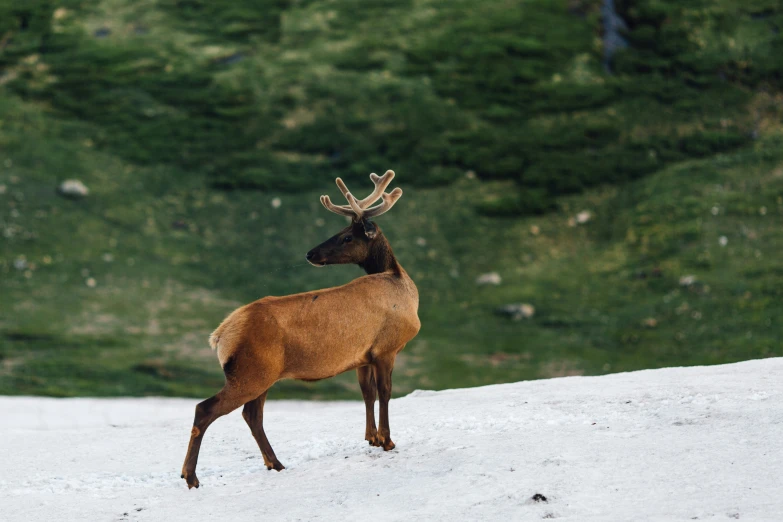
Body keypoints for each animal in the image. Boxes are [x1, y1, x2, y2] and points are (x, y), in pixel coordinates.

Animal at [181, 169, 420, 486]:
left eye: (346, 236)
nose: (310, 254)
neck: (401, 284)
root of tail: (220, 335)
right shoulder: (386, 348)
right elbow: (385, 392)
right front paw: (387, 440)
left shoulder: (363, 356)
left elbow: (366, 393)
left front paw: (371, 437)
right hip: (250, 373)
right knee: (205, 409)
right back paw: (191, 476)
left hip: (261, 375)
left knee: (252, 415)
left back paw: (275, 463)